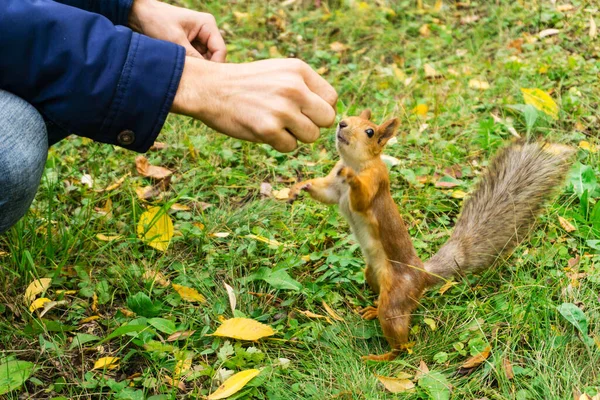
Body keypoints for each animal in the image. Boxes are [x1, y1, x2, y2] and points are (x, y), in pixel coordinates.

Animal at [290, 109, 572, 362]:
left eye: (370, 132)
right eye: (349, 117)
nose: (342, 124)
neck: (356, 163)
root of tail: (422, 276)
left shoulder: (375, 182)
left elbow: (360, 199)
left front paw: (349, 178)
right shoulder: (334, 188)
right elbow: (325, 194)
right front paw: (297, 187)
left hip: (395, 299)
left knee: (401, 341)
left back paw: (382, 357)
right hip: (372, 275)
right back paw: (371, 310)